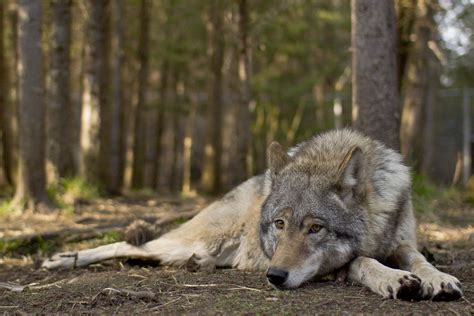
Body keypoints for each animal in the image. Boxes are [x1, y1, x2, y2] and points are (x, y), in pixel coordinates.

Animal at [43, 129, 462, 302]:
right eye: (279, 224)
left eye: (315, 228)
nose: (274, 276)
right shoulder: (343, 264)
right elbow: (362, 261)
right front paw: (396, 280)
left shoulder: (402, 242)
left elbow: (419, 258)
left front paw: (438, 279)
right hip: (193, 240)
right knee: (130, 246)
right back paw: (61, 259)